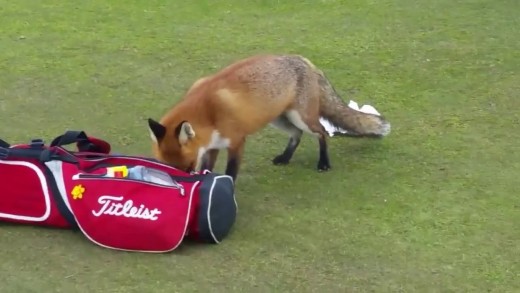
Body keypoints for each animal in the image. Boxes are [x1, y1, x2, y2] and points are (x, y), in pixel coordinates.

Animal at [146, 52, 390, 180]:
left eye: (188, 167)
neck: (209, 111)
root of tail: (304, 60)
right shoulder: (212, 145)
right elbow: (209, 167)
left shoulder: (237, 142)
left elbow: (231, 172)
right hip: (279, 119)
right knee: (297, 135)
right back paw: (285, 157)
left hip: (301, 118)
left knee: (321, 133)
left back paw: (323, 163)